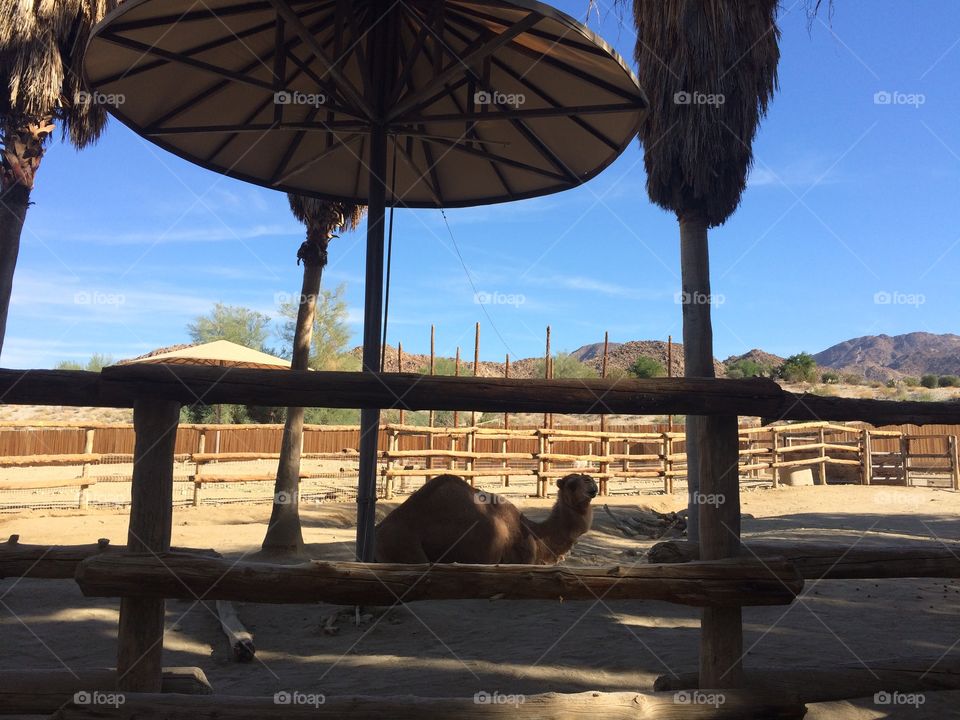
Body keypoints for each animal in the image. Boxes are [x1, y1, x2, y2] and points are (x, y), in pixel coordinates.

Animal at [374, 473, 598, 564]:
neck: (534, 533)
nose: (591, 483)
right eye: (571, 484)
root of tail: (377, 532)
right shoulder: (520, 560)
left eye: (587, 478)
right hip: (406, 547)